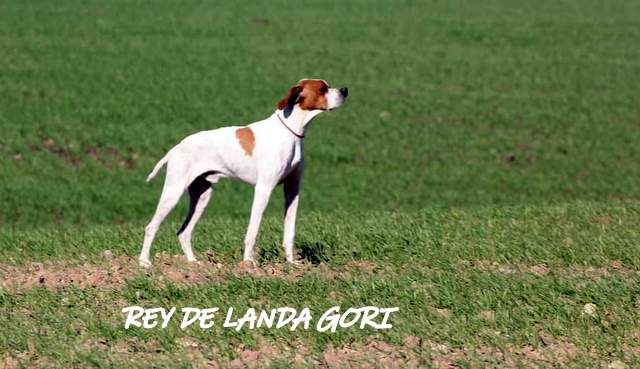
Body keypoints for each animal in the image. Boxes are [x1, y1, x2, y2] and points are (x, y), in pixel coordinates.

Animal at [139, 79, 348, 266]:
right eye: (322, 89)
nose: (345, 90)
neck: (290, 133)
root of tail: (175, 149)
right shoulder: (264, 189)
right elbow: (253, 231)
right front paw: (248, 262)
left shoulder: (292, 190)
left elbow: (289, 232)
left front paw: (291, 263)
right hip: (173, 193)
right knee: (151, 227)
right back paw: (144, 262)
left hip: (202, 197)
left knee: (184, 232)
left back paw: (193, 263)